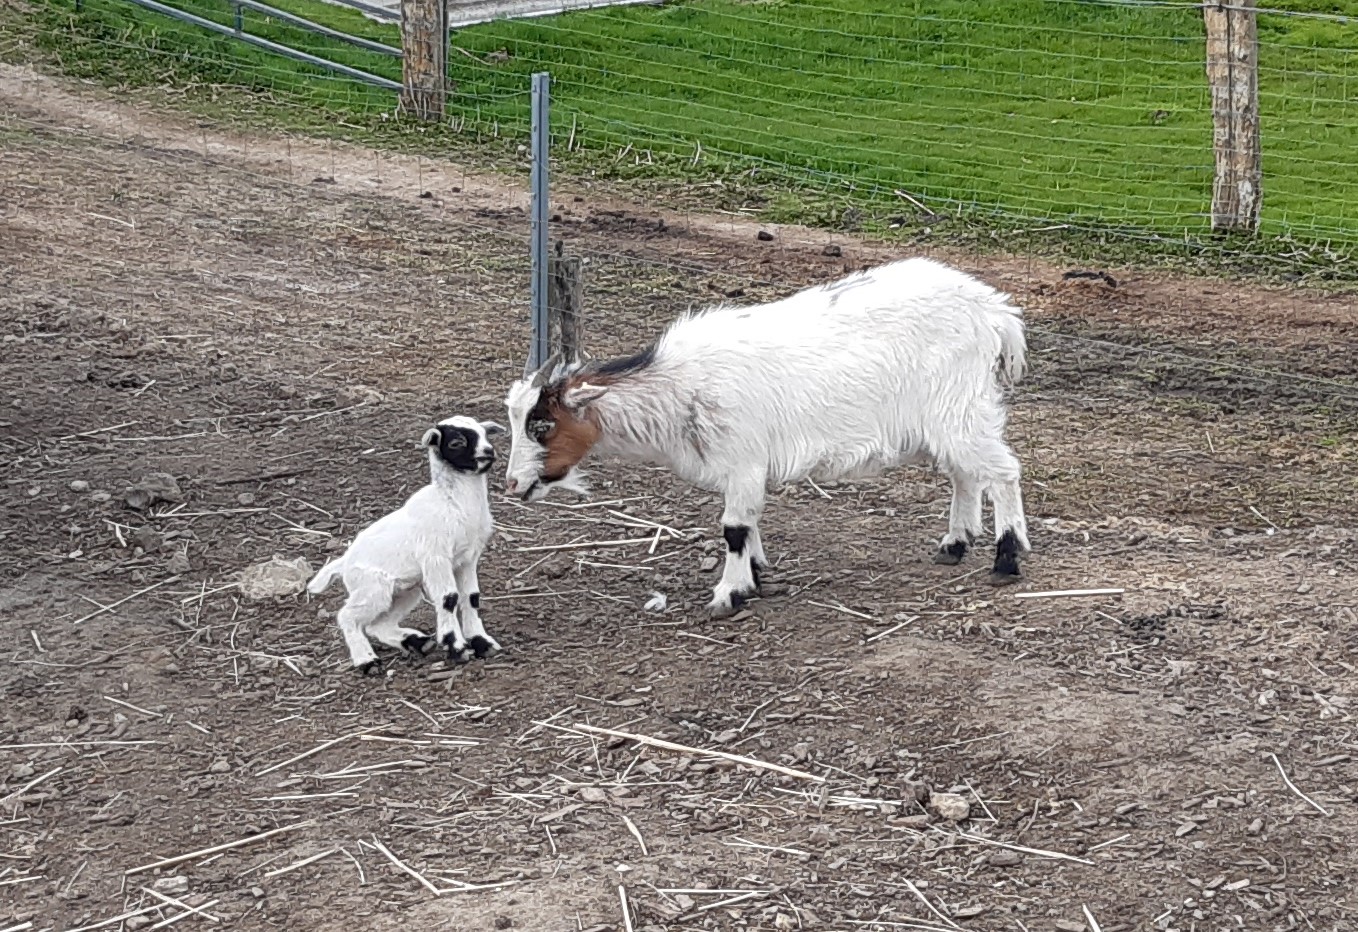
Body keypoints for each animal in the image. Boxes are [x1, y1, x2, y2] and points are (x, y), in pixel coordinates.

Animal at [307, 415, 506, 673]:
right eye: (456, 443)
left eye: (485, 435)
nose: (488, 452)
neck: (454, 504)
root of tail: (343, 563)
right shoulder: (436, 556)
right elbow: (449, 598)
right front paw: (457, 648)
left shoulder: (468, 557)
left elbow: (471, 597)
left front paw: (482, 643)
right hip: (373, 588)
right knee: (347, 616)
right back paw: (367, 661)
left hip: (405, 590)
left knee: (377, 625)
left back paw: (417, 642)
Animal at [502, 257, 1030, 616]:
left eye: (542, 424)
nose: (511, 484)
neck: (680, 386)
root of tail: (994, 312)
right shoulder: (743, 466)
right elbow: (750, 521)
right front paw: (754, 573)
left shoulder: (743, 458)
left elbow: (734, 527)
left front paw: (728, 593)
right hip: (951, 416)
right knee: (964, 473)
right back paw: (954, 545)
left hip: (957, 408)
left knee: (1003, 471)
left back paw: (1006, 558)